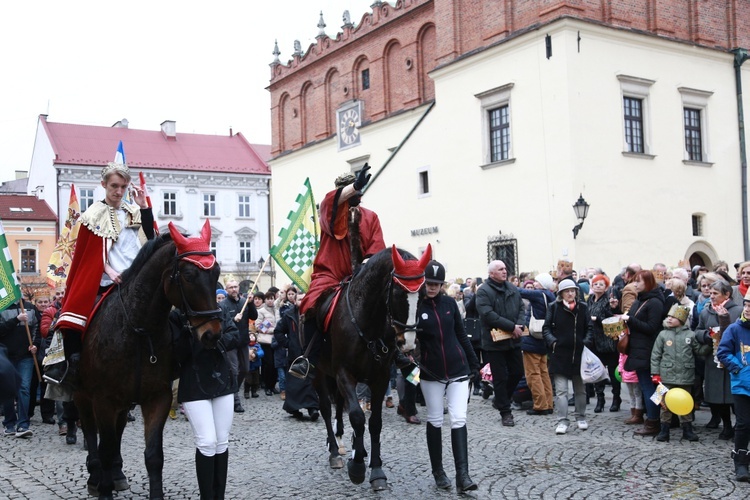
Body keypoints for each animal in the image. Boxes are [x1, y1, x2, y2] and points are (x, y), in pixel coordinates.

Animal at [73, 222, 223, 500]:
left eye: (216, 271)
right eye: (188, 275)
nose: (212, 334)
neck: (138, 330)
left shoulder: (157, 397)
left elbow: (154, 456)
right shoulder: (102, 400)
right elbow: (104, 448)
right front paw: (104, 488)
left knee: (118, 431)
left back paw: (117, 474)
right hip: (82, 395)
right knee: (90, 433)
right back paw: (95, 476)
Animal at [312, 244, 432, 490]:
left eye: (423, 295)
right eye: (398, 294)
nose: (408, 343)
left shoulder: (380, 378)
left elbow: (374, 423)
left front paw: (376, 469)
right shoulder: (344, 374)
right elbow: (358, 417)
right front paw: (357, 466)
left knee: (339, 405)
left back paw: (345, 441)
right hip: (320, 372)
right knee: (327, 408)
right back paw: (334, 451)